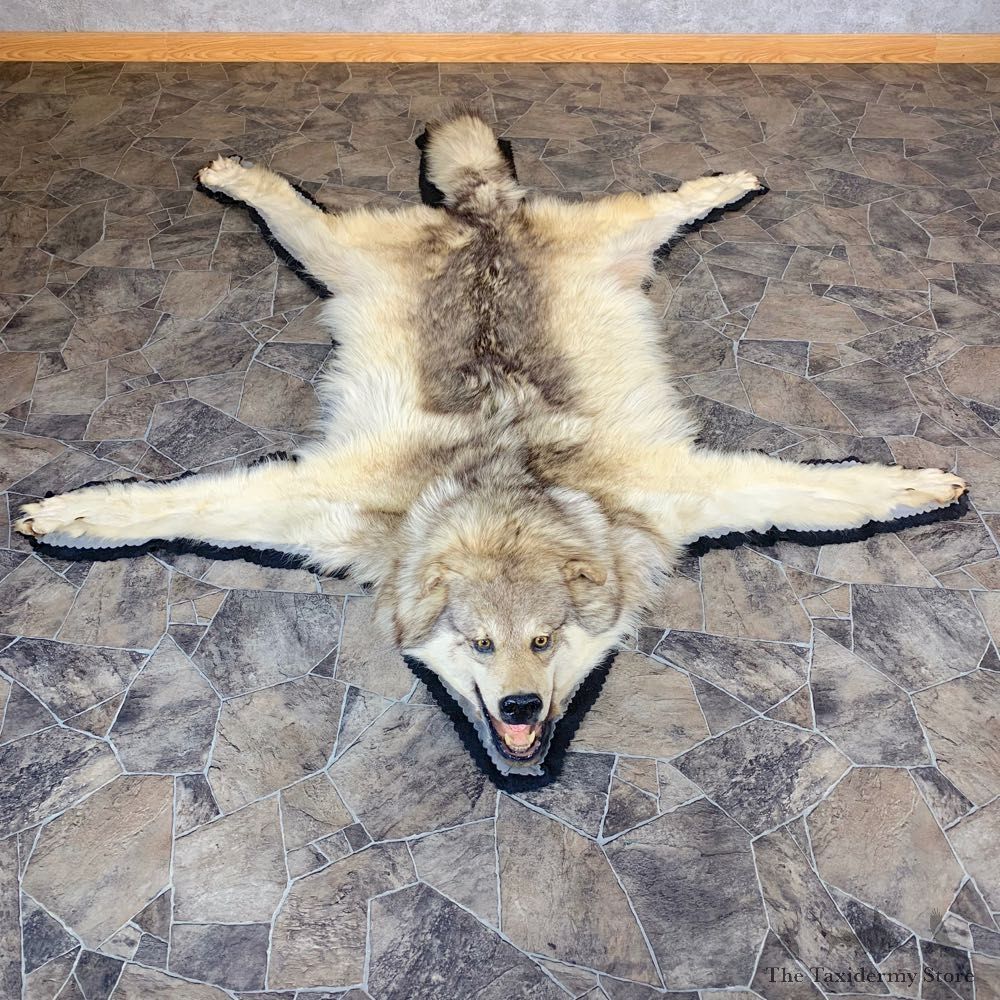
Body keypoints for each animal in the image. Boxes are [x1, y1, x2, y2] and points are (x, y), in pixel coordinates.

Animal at [16, 109, 967, 775]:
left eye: (543, 643)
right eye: (479, 644)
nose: (517, 709)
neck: (506, 481)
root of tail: (481, 212)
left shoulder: (688, 491)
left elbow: (826, 489)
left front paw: (920, 487)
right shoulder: (310, 502)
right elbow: (164, 506)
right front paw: (70, 516)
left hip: (600, 238)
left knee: (669, 202)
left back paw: (722, 180)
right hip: (335, 256)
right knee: (288, 203)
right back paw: (237, 175)